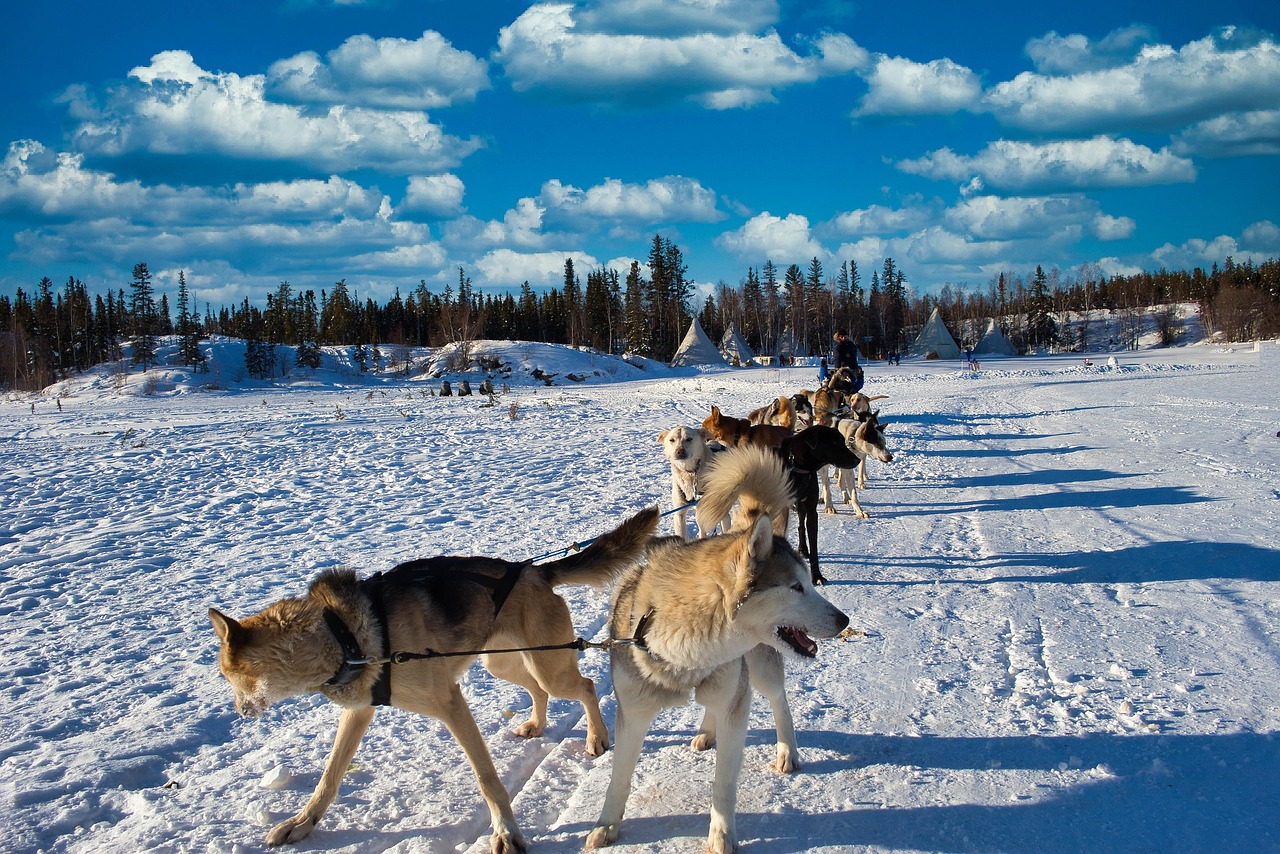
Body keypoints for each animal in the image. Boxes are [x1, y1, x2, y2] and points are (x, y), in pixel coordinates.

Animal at [209, 507, 660, 850]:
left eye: (227, 676)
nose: (239, 710)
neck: (341, 633)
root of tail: (533, 572)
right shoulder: (359, 713)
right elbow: (329, 778)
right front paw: (302, 823)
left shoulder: (451, 703)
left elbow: (487, 778)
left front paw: (505, 833)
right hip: (503, 664)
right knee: (537, 690)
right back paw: (536, 724)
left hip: (549, 667)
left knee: (584, 686)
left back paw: (596, 737)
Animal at [586, 448, 849, 854]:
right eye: (796, 587)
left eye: (809, 582)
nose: (844, 619)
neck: (685, 654)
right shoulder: (633, 713)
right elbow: (619, 779)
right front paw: (607, 826)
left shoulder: (735, 708)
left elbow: (723, 784)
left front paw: (722, 836)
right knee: (714, 704)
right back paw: (707, 732)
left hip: (758, 671)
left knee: (779, 702)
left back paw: (787, 752)